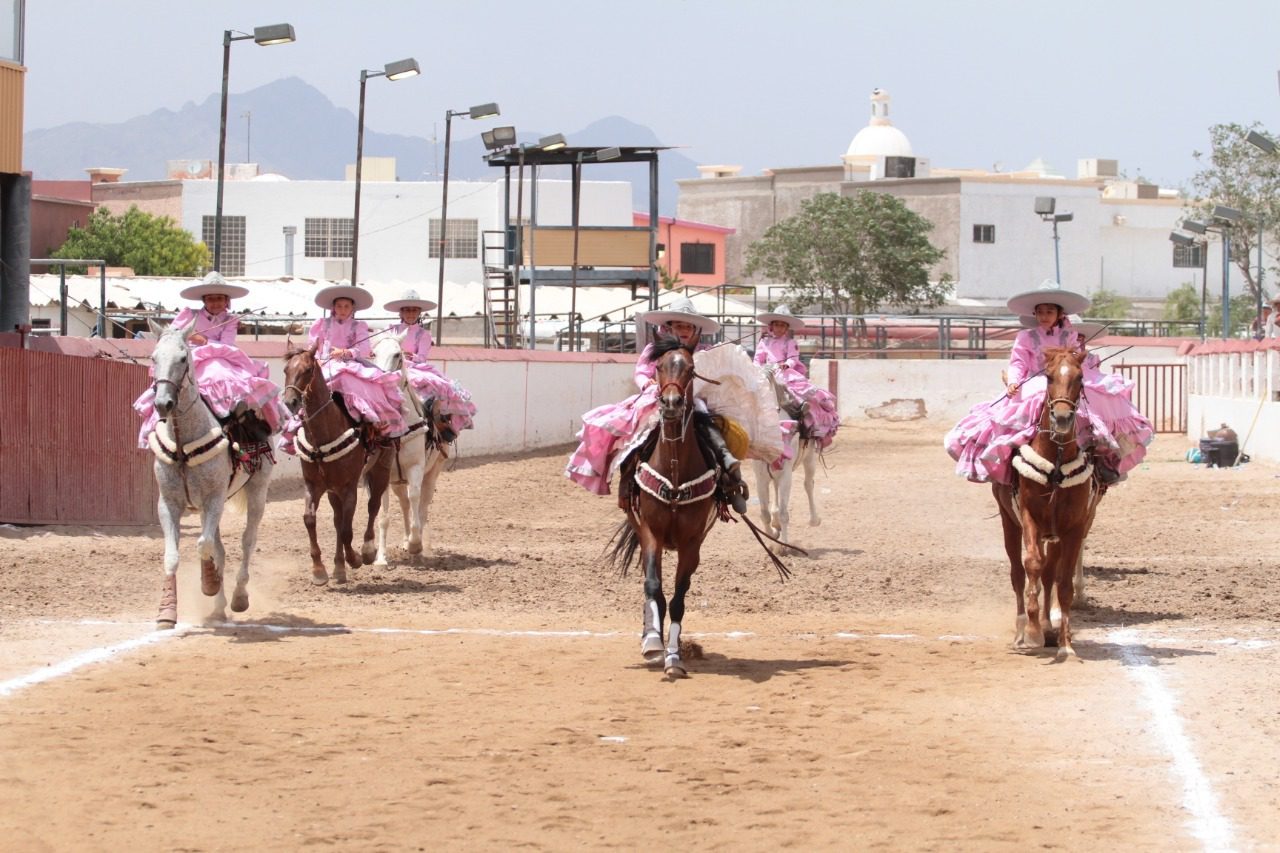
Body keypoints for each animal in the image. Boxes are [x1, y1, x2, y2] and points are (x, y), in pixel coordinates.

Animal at [148, 322, 276, 627]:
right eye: (153, 358)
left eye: (183, 358)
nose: (163, 403)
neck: (183, 441)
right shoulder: (168, 503)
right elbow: (173, 556)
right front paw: (167, 611)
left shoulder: (214, 500)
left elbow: (203, 545)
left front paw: (208, 584)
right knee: (221, 549)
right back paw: (218, 607)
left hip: (257, 492)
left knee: (247, 542)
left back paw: (238, 597)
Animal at [282, 343, 391, 581]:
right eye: (286, 369)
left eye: (308, 370)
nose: (289, 402)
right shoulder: (313, 485)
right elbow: (310, 519)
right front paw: (318, 569)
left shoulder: (349, 487)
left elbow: (347, 530)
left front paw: (355, 558)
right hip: (333, 490)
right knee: (338, 519)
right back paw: (339, 567)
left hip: (380, 471)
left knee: (373, 506)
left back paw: (366, 551)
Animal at [606, 335, 721, 676]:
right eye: (659, 366)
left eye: (692, 368)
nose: (671, 403)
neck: (674, 470)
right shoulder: (650, 532)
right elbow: (654, 587)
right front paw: (654, 643)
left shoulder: (692, 543)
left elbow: (678, 600)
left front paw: (674, 658)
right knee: (651, 585)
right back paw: (649, 638)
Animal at [988, 345, 1100, 655]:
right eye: (1048, 377)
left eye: (1080, 377)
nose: (1062, 418)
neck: (1056, 463)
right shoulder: (1030, 518)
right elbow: (1033, 566)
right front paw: (1033, 631)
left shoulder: (1073, 526)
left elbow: (1062, 583)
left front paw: (1065, 644)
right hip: (1009, 521)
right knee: (1018, 573)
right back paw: (1021, 631)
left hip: (1055, 534)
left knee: (1050, 574)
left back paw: (1050, 628)